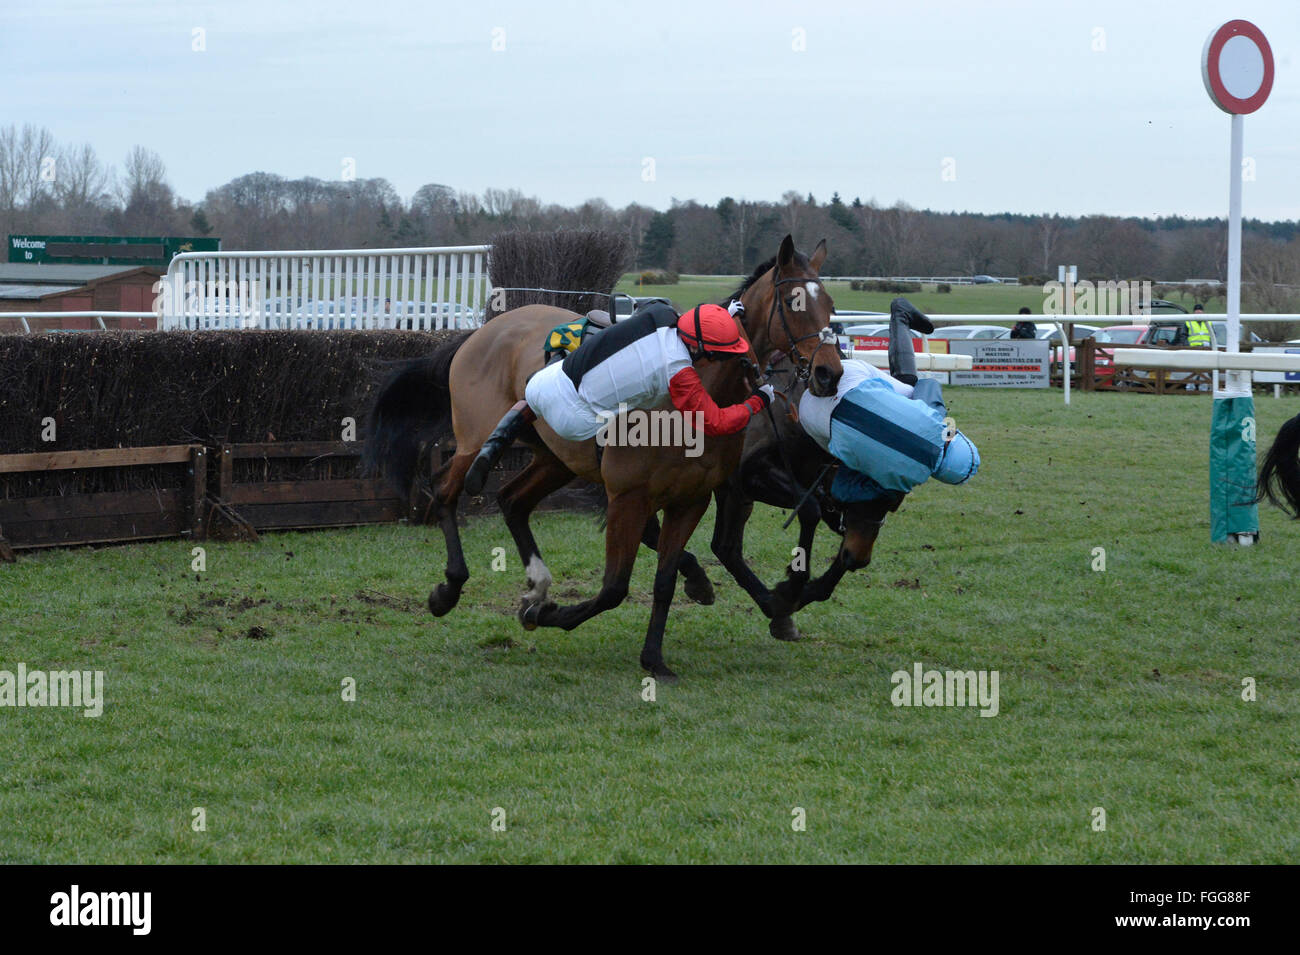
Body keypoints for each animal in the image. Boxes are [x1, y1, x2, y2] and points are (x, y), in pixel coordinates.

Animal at [364, 235, 842, 680]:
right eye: (794, 302)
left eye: (831, 305)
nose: (829, 373)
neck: (697, 393)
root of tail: (481, 332)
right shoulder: (630, 497)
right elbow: (615, 587)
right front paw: (550, 615)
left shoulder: (692, 498)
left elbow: (667, 578)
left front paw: (656, 657)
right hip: (474, 439)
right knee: (445, 489)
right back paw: (450, 588)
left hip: (555, 457)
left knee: (512, 500)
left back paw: (537, 584)